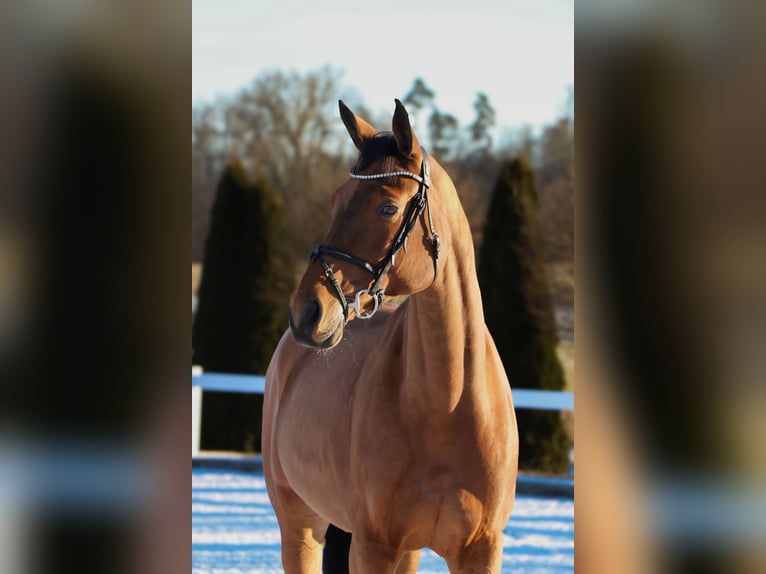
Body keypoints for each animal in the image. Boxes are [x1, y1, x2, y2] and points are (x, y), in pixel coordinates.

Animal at [264, 101, 520, 572]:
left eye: (387, 208)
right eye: (335, 199)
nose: (306, 312)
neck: (448, 404)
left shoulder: (480, 549)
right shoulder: (373, 546)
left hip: (410, 550)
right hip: (300, 527)